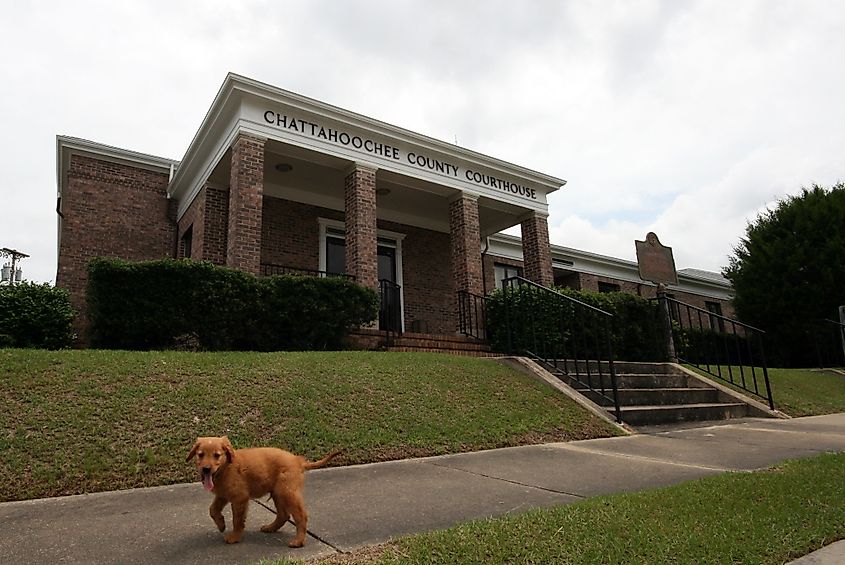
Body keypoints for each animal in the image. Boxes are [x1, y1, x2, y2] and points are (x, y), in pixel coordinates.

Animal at [186, 434, 338, 544]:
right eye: (200, 454)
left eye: (217, 455)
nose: (206, 469)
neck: (225, 468)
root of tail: (298, 461)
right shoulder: (223, 495)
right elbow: (212, 509)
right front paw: (221, 525)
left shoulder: (240, 498)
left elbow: (237, 520)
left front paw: (235, 537)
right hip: (278, 493)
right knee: (283, 515)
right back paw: (270, 528)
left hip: (287, 492)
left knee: (301, 516)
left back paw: (298, 541)